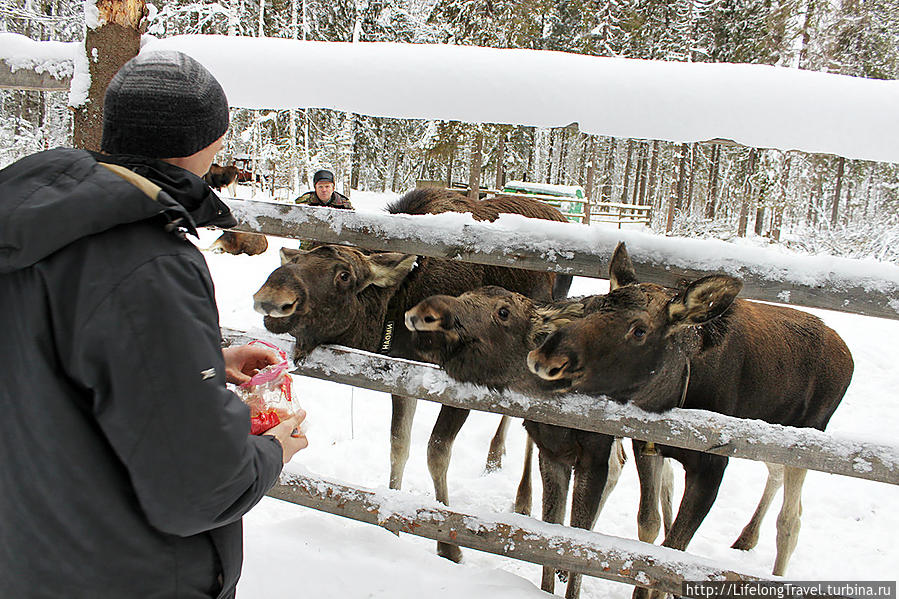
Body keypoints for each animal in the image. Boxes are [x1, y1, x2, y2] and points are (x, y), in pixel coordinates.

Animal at [251, 190, 576, 564]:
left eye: (344, 275)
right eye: (301, 257)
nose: (272, 298)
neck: (395, 311)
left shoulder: (459, 384)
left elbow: (436, 453)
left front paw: (448, 545)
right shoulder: (403, 375)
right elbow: (398, 444)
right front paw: (392, 525)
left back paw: (522, 498)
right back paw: (495, 458)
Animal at [524, 243, 856, 592]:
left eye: (639, 330)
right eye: (591, 307)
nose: (548, 356)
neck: (680, 389)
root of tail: (848, 356)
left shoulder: (712, 465)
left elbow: (673, 552)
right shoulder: (648, 445)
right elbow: (649, 525)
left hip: (807, 436)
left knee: (790, 521)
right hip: (773, 434)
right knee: (776, 475)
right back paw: (746, 537)